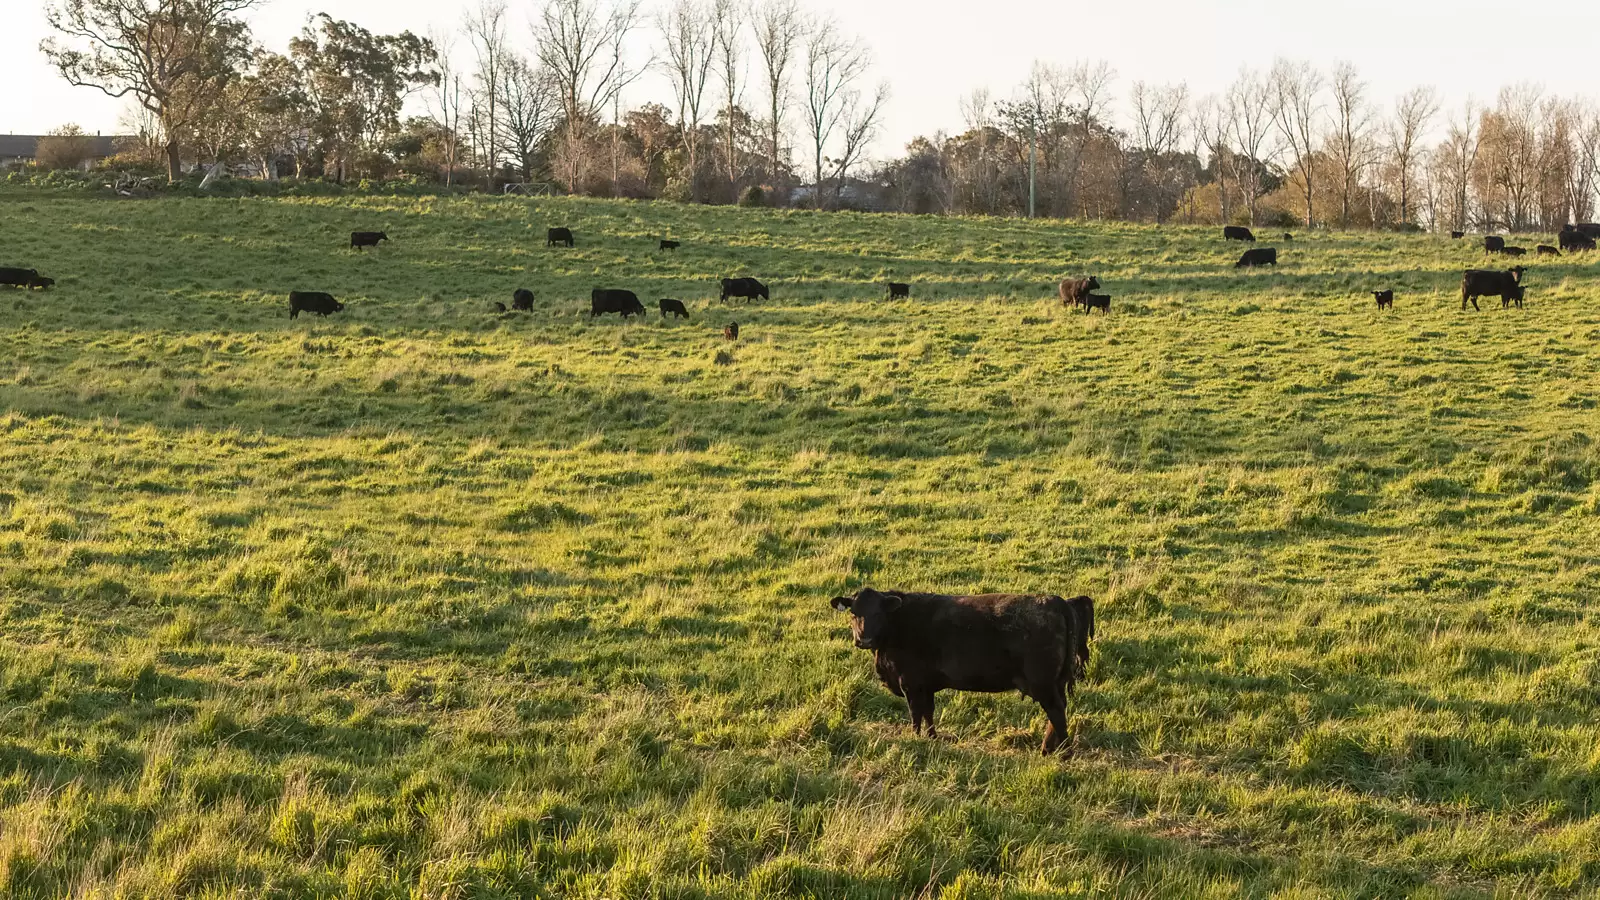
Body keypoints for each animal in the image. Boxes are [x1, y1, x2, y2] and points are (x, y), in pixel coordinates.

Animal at [832, 586, 1094, 752]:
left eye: (878, 613)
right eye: (854, 613)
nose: (863, 639)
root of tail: (1057, 600)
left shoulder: (910, 683)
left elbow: (915, 714)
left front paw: (916, 738)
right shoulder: (926, 685)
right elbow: (928, 713)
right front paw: (932, 738)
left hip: (1043, 684)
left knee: (1056, 712)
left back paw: (1063, 752)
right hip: (1054, 683)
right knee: (1058, 711)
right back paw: (1049, 748)